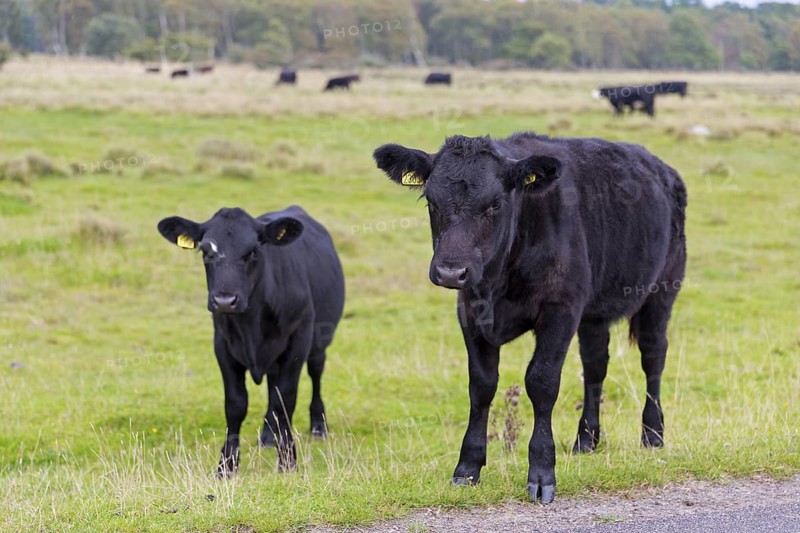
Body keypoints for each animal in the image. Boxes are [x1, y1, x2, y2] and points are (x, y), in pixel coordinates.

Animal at [157, 206, 345, 476]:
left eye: (254, 251)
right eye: (206, 251)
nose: (225, 300)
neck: (252, 326)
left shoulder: (297, 343)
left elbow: (284, 398)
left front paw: (287, 461)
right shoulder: (222, 346)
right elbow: (237, 404)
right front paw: (226, 465)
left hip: (319, 342)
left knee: (315, 374)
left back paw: (318, 426)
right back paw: (267, 437)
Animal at [373, 132, 687, 504]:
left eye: (495, 203)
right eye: (431, 201)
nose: (451, 271)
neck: (499, 282)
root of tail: (662, 168)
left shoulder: (560, 309)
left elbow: (542, 382)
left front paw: (541, 472)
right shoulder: (470, 311)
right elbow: (481, 386)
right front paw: (468, 467)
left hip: (661, 292)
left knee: (653, 357)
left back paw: (653, 433)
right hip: (594, 315)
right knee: (595, 366)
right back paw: (587, 439)